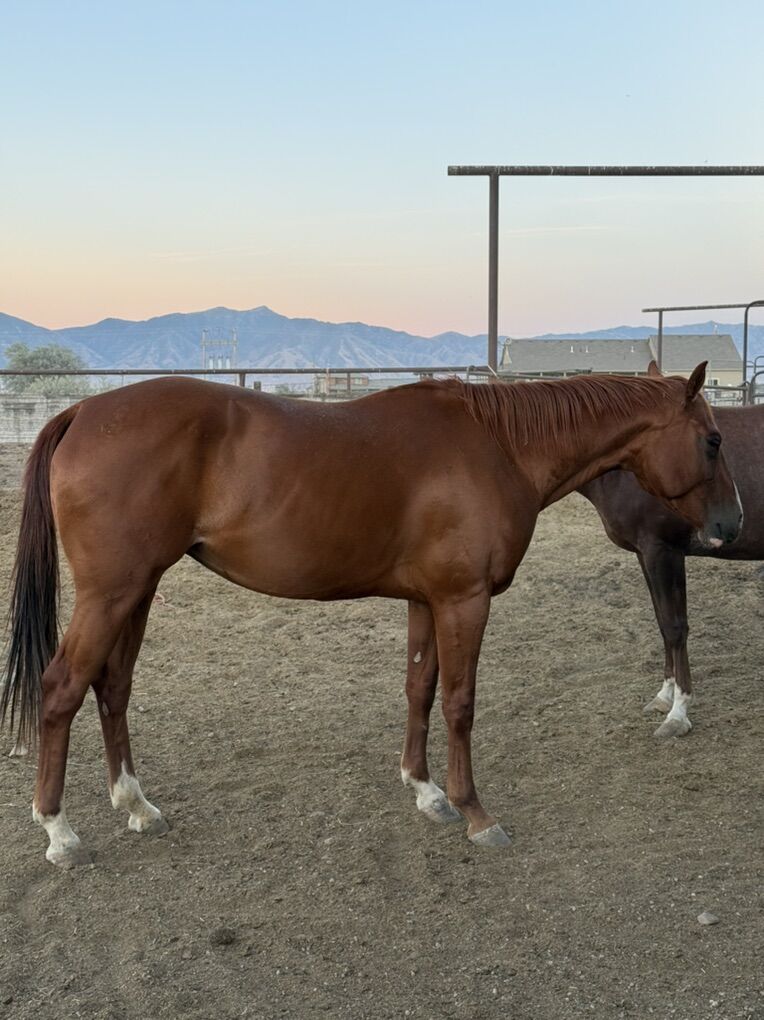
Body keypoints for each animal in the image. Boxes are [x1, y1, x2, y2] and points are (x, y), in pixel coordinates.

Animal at [0, 362, 742, 867]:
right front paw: (475, 812)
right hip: (113, 592)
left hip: (138, 589)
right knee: (62, 688)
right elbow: (460, 703)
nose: (731, 525)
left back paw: (136, 805)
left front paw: (426, 792)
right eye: (711, 440)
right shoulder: (463, 600)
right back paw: (60, 832)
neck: (499, 443)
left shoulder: (427, 599)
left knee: (112, 686)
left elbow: (419, 688)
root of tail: (82, 412)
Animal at [581, 401, 763, 738]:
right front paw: (663, 697)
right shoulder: (646, 554)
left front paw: (678, 714)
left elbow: (676, 626)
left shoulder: (663, 551)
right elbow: (662, 622)